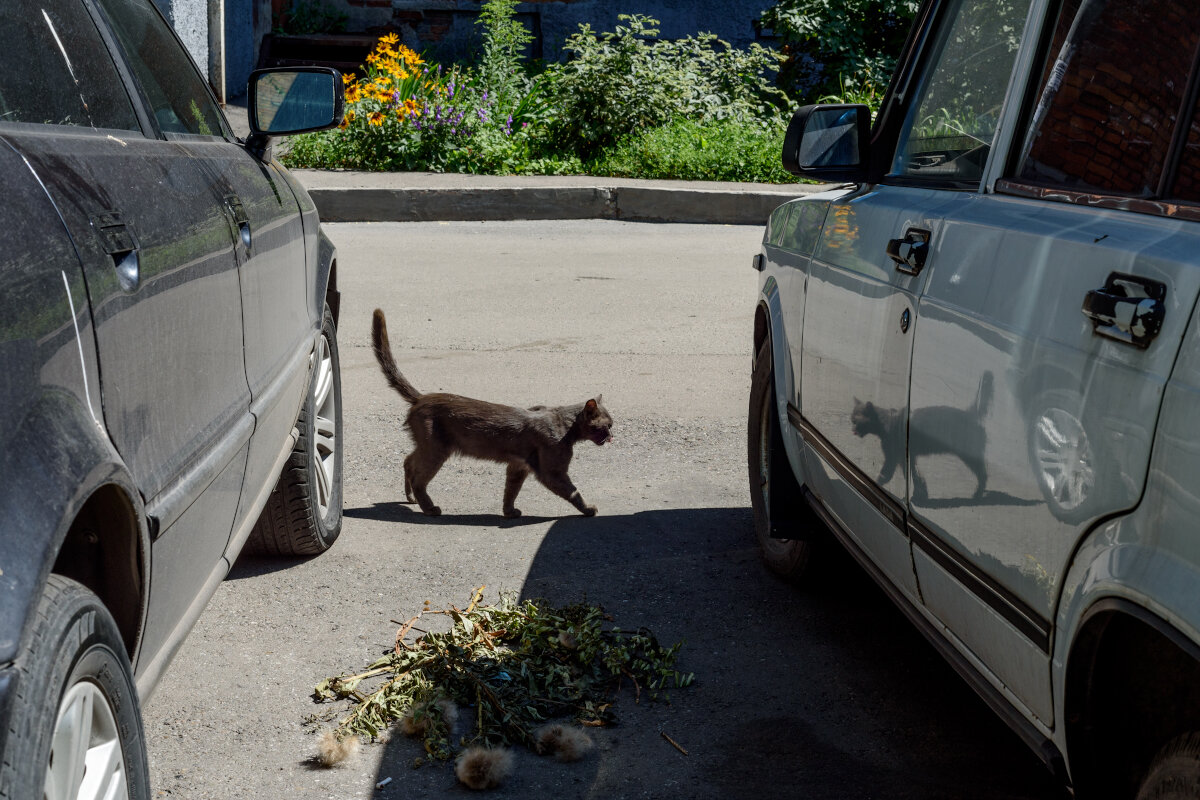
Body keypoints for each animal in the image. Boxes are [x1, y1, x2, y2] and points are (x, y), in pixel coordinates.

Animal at [367, 307, 614, 520]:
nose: (613, 436)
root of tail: (421, 397)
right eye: (608, 425)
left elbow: (510, 491)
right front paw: (588, 509)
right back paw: (429, 508)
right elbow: (573, 491)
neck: (565, 424)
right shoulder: (552, 471)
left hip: (429, 447)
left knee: (408, 461)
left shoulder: (518, 466)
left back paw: (410, 498)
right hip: (436, 449)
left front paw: (509, 512)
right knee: (419, 477)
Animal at [844, 371, 993, 501]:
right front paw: (920, 493)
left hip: (969, 455)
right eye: (851, 419)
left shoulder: (892, 457)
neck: (886, 421)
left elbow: (886, 474)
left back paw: (977, 494)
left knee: (983, 473)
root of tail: (970, 414)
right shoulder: (905, 457)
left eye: (855, 421)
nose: (851, 428)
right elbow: (914, 475)